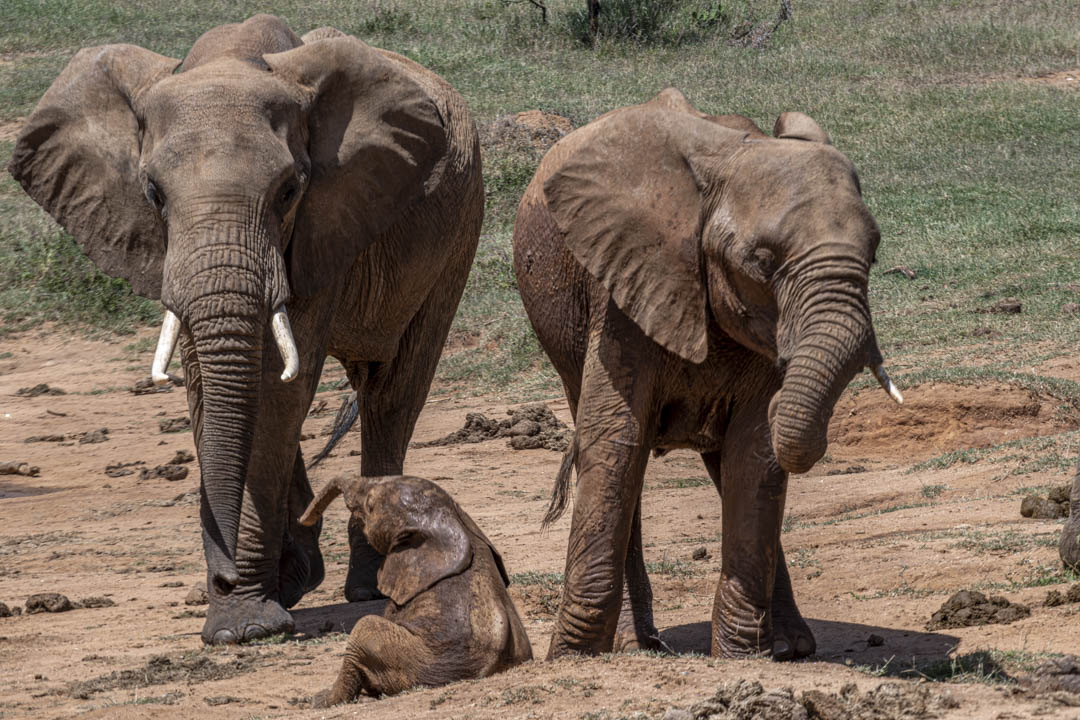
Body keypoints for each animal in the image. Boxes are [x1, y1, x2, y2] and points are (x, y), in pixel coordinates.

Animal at [7, 15, 483, 644]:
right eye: (152, 193)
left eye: (289, 190)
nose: (225, 577)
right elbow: (208, 387)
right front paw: (251, 607)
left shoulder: (320, 220)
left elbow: (280, 390)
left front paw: (246, 624)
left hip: (459, 233)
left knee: (391, 393)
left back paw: (368, 585)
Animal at [512, 88, 902, 660]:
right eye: (762, 261)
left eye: (873, 254)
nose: (788, 382)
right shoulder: (624, 286)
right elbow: (616, 440)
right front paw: (572, 657)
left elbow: (753, 452)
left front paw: (742, 657)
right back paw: (634, 646)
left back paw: (789, 647)